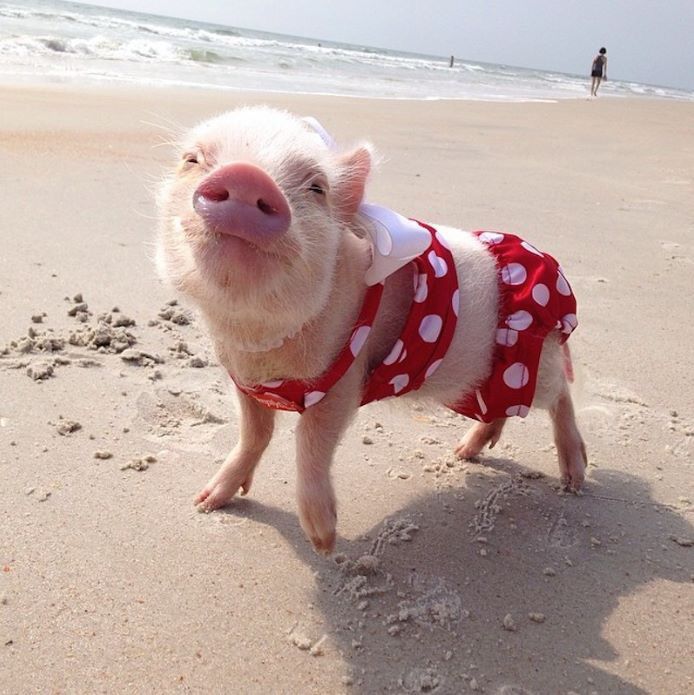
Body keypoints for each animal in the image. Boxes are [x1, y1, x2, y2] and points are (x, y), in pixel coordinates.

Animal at [156, 107, 588, 556]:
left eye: (317, 187)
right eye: (192, 160)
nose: (246, 175)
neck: (260, 341)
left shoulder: (345, 377)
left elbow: (311, 440)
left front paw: (324, 544)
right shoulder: (245, 383)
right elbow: (254, 433)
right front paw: (206, 503)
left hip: (528, 359)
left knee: (560, 394)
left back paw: (574, 480)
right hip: (480, 382)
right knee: (502, 410)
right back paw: (464, 454)